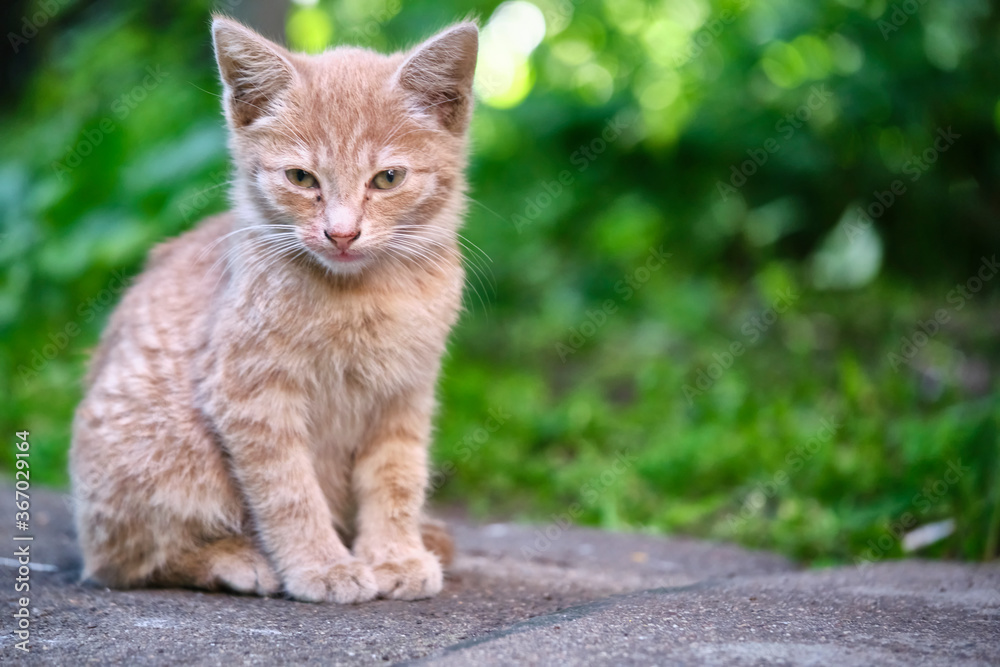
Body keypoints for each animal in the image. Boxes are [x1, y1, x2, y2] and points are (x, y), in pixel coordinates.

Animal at [68, 15, 478, 604]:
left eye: (388, 179)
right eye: (302, 178)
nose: (342, 233)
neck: (359, 296)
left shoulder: (404, 394)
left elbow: (397, 476)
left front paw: (394, 554)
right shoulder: (249, 395)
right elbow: (289, 490)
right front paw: (322, 565)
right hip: (158, 460)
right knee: (123, 562)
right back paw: (236, 559)